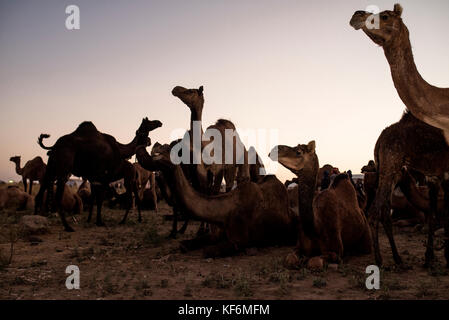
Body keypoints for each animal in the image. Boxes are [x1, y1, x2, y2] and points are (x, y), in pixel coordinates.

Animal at [136, 142, 298, 258]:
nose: (142, 148)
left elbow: (208, 251)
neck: (224, 212)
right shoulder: (216, 233)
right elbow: (184, 244)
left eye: (164, 151)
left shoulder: (239, 240)